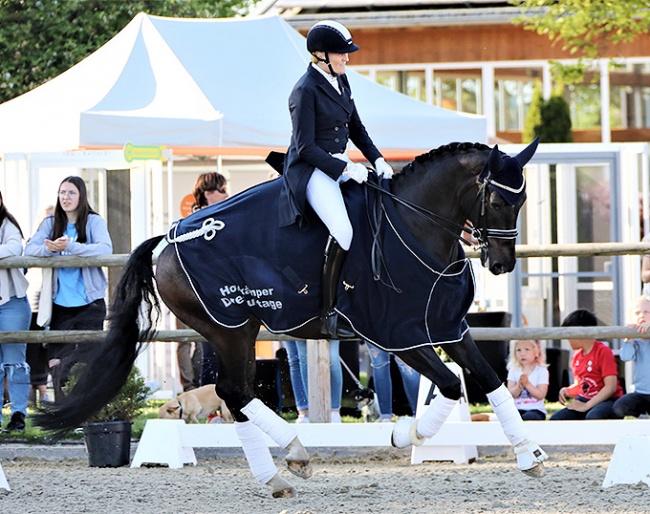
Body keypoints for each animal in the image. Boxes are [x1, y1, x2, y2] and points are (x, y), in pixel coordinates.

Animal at [34, 139, 540, 496]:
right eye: (499, 202)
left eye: (522, 201)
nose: (501, 265)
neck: (414, 225)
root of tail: (170, 238)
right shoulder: (400, 336)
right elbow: (452, 384)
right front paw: (405, 434)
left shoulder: (447, 329)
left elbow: (488, 381)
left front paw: (528, 454)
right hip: (230, 329)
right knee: (234, 391)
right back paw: (291, 458)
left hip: (237, 332)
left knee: (233, 393)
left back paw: (282, 470)